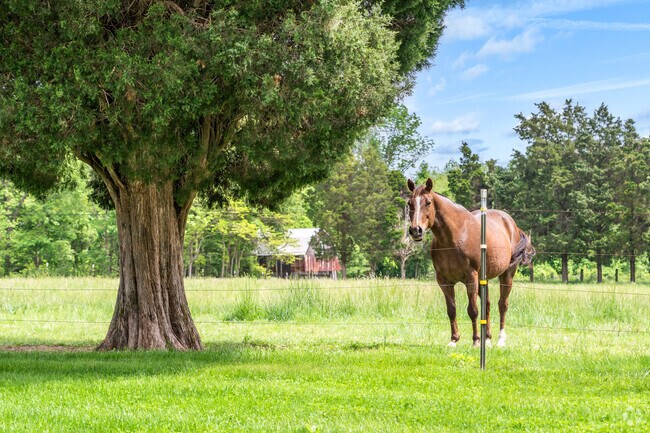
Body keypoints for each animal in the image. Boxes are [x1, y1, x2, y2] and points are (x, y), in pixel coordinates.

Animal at [407, 178, 534, 347]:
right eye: (409, 203)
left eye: (428, 202)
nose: (416, 230)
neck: (455, 236)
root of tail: (511, 224)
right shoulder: (444, 280)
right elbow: (451, 310)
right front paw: (454, 339)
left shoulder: (470, 277)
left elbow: (473, 310)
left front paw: (475, 341)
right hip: (483, 279)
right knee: (487, 305)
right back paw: (488, 338)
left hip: (507, 275)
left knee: (502, 305)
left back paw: (500, 340)